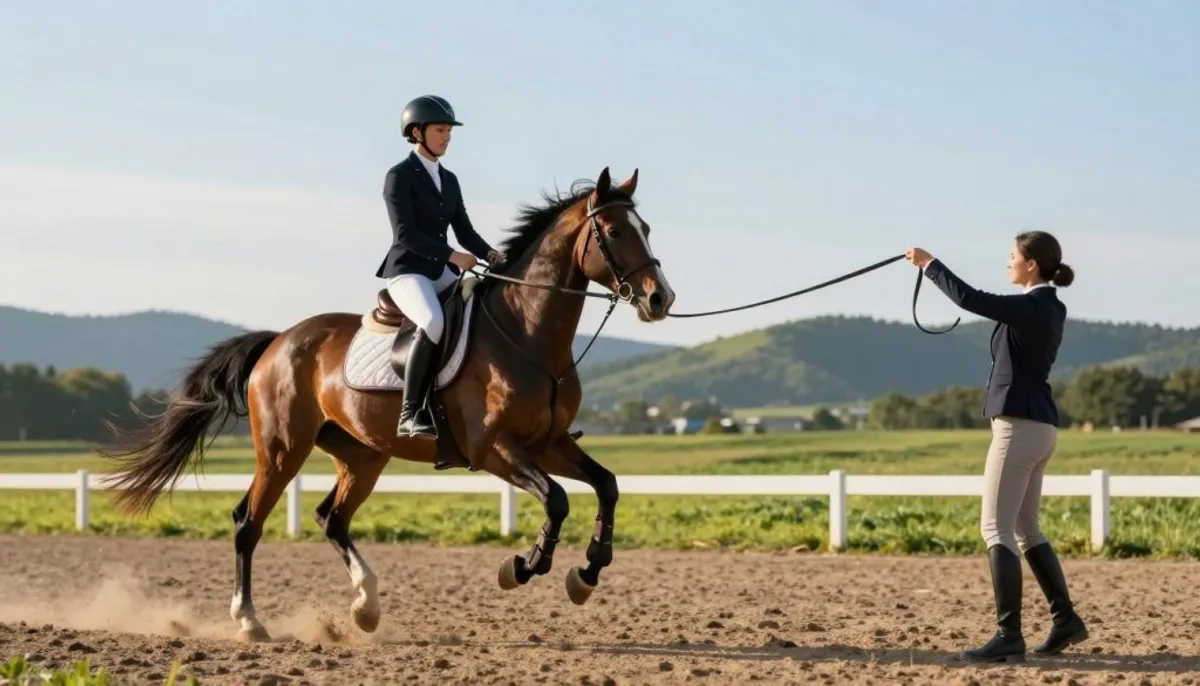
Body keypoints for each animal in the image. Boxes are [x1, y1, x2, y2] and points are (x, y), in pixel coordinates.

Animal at [97, 167, 675, 642]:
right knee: (247, 522)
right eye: (616, 232)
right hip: (284, 450)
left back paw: (365, 609)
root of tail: (279, 341)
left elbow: (607, 485)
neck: (527, 336)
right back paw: (250, 622)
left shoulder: (549, 443)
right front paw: (521, 568)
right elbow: (556, 500)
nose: (659, 299)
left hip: (362, 454)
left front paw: (587, 572)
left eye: (646, 229)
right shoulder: (494, 450)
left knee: (331, 518)